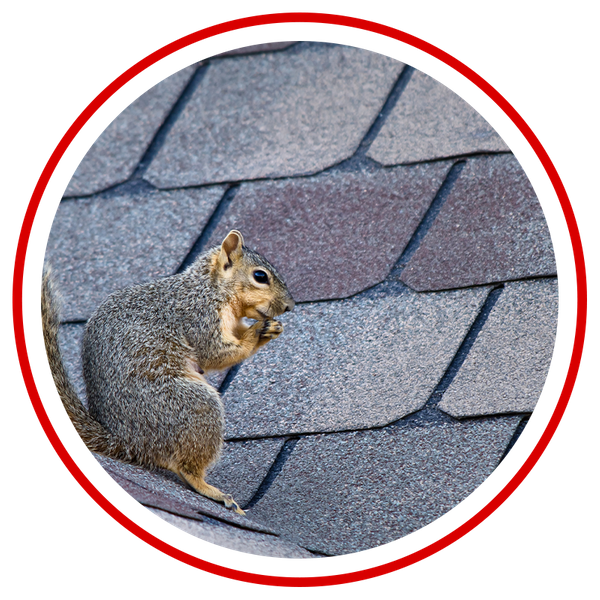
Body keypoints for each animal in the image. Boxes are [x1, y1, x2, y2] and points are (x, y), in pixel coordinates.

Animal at [38, 231, 296, 516]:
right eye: (260, 276)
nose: (289, 306)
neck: (210, 288)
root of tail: (127, 441)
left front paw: (271, 329)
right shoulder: (199, 318)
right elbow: (214, 353)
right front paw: (257, 333)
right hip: (193, 406)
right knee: (185, 467)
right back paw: (211, 490)